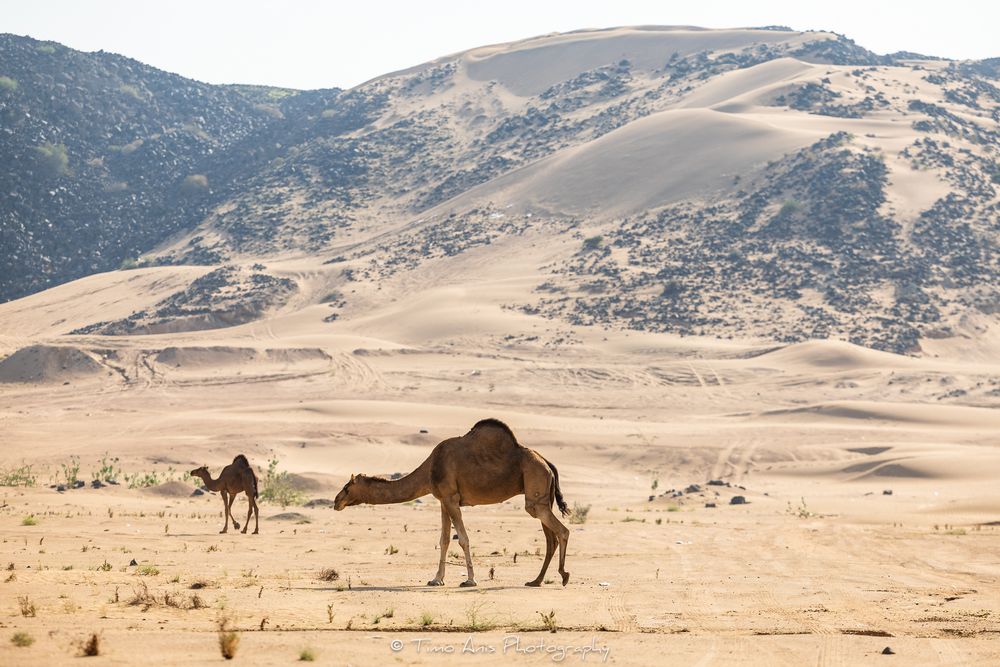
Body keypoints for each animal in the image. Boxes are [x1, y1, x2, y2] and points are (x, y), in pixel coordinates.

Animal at [334, 419, 570, 587]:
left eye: (347, 487)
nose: (336, 502)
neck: (429, 469)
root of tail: (546, 463)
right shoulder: (442, 501)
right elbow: (445, 539)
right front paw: (436, 579)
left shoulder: (451, 498)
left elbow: (463, 539)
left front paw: (470, 580)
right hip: (542, 498)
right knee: (550, 538)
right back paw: (536, 581)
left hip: (535, 490)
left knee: (562, 531)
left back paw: (563, 575)